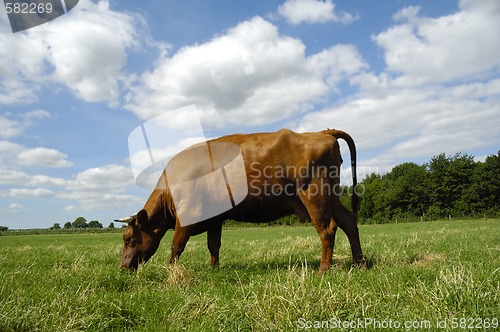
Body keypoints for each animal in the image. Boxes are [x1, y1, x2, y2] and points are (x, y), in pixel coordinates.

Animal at [118, 128, 366, 272]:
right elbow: (213, 244)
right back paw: (360, 262)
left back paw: (324, 268)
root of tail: (320, 132)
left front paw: (169, 271)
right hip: (331, 196)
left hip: (315, 194)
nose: (122, 267)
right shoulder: (215, 218)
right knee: (348, 222)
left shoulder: (188, 215)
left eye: (128, 239)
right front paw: (214, 268)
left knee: (327, 228)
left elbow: (176, 245)